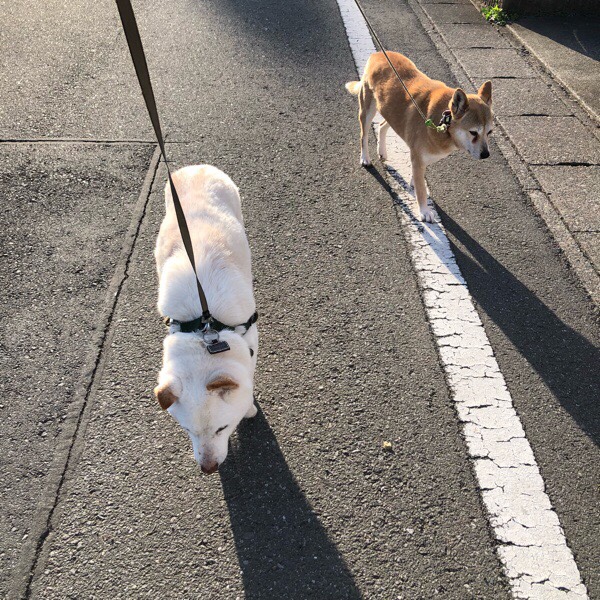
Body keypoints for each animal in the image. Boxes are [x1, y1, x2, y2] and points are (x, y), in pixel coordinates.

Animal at [153, 165, 258, 474]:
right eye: (187, 430)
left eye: (222, 428)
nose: (208, 469)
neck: (205, 329)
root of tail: (195, 167)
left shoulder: (251, 338)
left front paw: (249, 406)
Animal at [346, 51, 493, 223]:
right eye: (473, 132)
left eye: (489, 132)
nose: (486, 154)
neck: (443, 120)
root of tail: (378, 54)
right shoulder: (418, 158)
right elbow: (421, 189)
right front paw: (424, 210)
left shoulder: (420, 159)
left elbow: (418, 179)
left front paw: (414, 184)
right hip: (367, 109)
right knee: (363, 136)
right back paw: (365, 158)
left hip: (391, 112)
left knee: (382, 125)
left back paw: (382, 150)